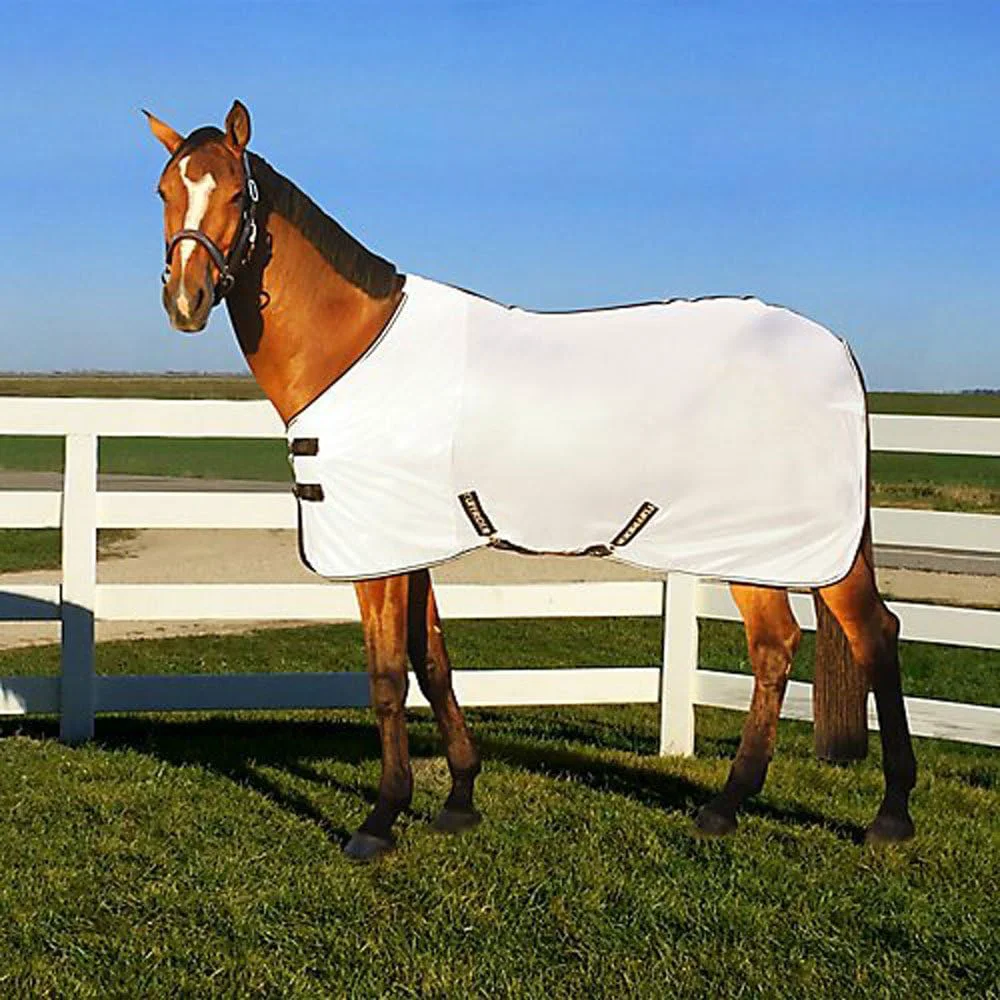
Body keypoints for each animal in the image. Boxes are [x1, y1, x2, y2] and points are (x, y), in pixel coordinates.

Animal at [146, 101, 916, 861]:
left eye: (236, 194)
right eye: (162, 190)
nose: (186, 299)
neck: (355, 344)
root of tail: (841, 353)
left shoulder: (377, 553)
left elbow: (388, 676)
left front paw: (380, 820)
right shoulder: (411, 543)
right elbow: (433, 661)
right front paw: (458, 798)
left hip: (804, 547)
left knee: (872, 635)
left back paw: (890, 815)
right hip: (751, 544)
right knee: (778, 646)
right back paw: (726, 806)